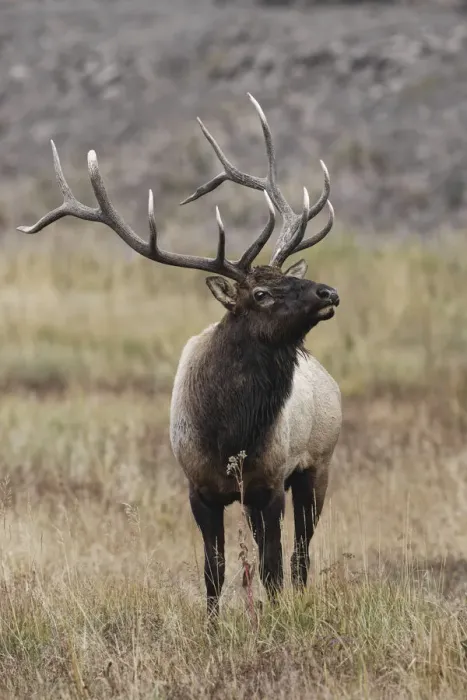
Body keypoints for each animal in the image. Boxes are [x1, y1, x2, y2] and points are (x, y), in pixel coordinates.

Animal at [17, 94, 342, 618]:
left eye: (284, 281)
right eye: (261, 294)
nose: (328, 291)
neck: (228, 431)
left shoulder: (270, 482)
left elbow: (270, 567)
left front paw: (274, 617)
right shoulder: (200, 490)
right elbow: (216, 570)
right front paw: (212, 626)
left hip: (318, 464)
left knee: (300, 552)